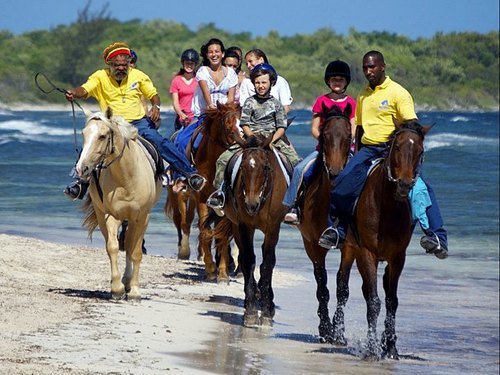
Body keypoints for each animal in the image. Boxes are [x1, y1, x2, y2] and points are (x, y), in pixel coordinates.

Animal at [77, 108, 161, 300]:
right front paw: (117, 289)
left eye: (102, 136)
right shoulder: (110, 215)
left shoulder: (142, 217)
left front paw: (135, 291)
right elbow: (112, 247)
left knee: (130, 244)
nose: (81, 169)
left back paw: (129, 282)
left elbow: (135, 251)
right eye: (84, 134)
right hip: (103, 216)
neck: (126, 177)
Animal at [165, 101, 241, 280]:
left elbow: (221, 234)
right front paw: (211, 269)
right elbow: (205, 231)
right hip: (180, 194)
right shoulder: (201, 197)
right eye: (229, 127)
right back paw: (184, 250)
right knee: (183, 221)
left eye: (243, 125)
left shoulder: (222, 202)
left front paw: (222, 273)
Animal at [219, 134, 290, 328]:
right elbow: (249, 260)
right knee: (244, 257)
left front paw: (266, 310)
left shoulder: (273, 228)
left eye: (265, 167)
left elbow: (268, 264)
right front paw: (251, 310)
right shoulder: (244, 226)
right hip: (236, 226)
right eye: (242, 167)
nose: (251, 204)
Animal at [332, 122, 430, 360]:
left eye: (420, 151)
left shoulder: (398, 258)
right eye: (397, 148)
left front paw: (391, 347)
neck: (389, 208)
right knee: (343, 286)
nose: (404, 184)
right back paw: (338, 334)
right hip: (350, 249)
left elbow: (391, 301)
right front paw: (371, 348)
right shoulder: (367, 252)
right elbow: (374, 301)